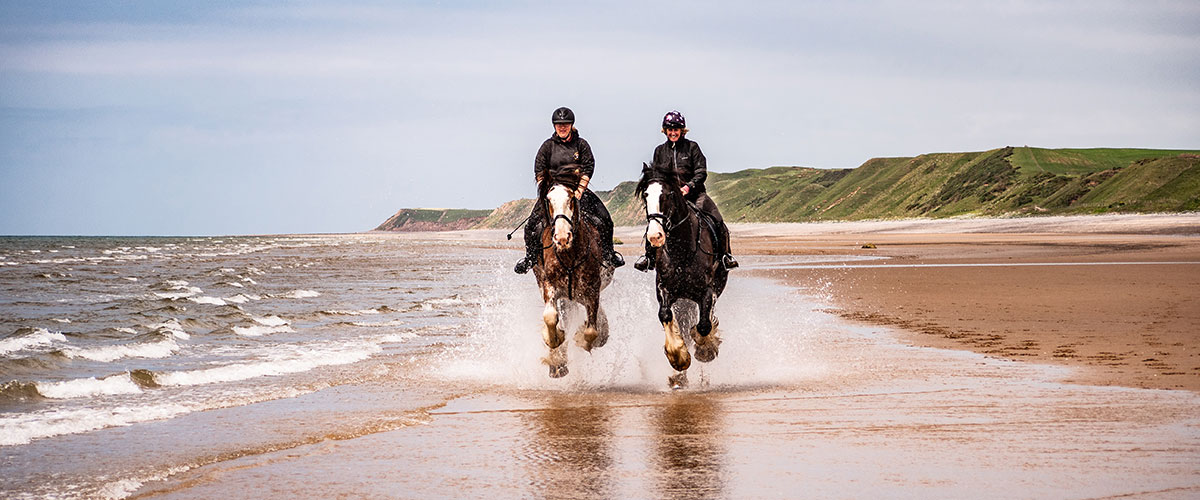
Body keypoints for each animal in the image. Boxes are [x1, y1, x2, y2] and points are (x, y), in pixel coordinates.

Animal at [532, 161, 614, 376]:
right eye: (549, 200)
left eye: (571, 199)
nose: (562, 237)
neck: (568, 254)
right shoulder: (550, 287)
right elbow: (550, 318)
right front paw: (555, 347)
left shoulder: (592, 289)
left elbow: (591, 330)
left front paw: (582, 338)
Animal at [633, 161, 724, 388]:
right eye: (646, 195)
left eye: (667, 195)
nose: (655, 236)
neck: (681, 250)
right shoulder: (665, 289)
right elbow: (666, 317)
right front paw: (678, 359)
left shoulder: (706, 292)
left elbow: (703, 326)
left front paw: (706, 350)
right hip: (684, 301)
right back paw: (680, 377)